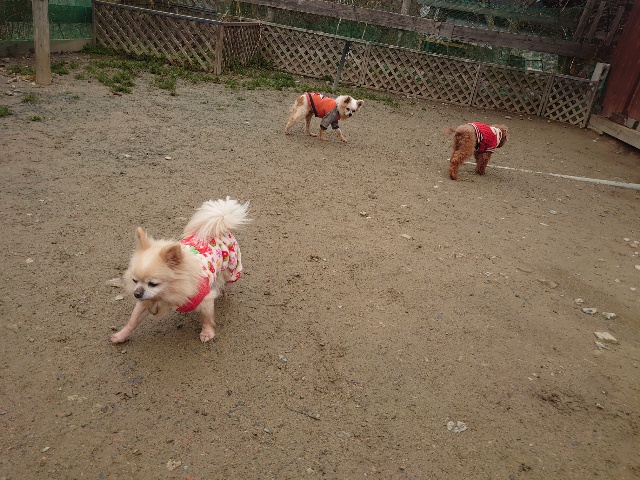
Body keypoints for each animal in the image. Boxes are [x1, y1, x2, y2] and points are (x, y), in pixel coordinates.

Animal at [111, 197, 250, 344]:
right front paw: (121, 335)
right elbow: (132, 320)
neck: (169, 293)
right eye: (134, 280)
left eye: (153, 284)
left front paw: (207, 333)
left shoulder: (205, 298)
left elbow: (206, 318)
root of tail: (219, 227)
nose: (136, 293)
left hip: (231, 269)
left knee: (226, 282)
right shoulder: (146, 301)